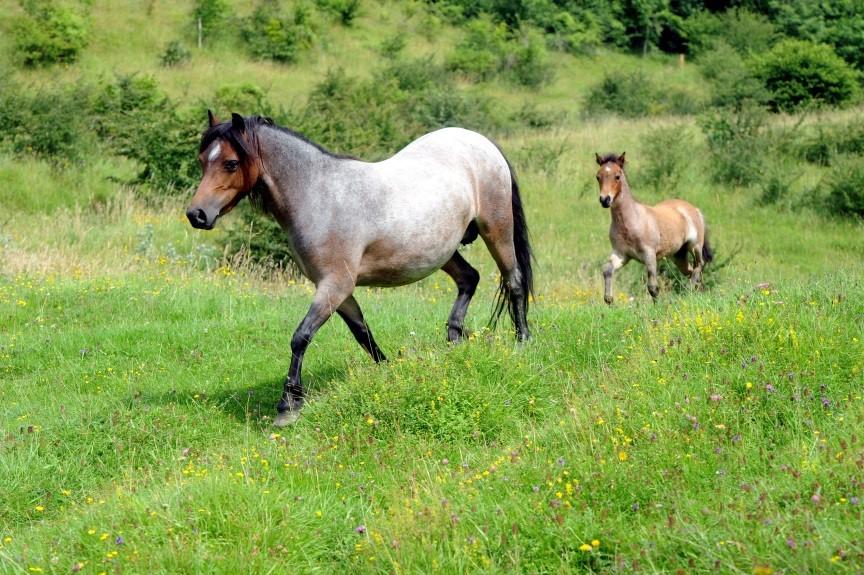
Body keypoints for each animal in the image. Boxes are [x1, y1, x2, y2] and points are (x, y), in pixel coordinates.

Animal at [186, 113, 528, 428]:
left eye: (231, 163)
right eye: (203, 160)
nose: (196, 214)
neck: (318, 197)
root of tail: (481, 142)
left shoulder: (335, 285)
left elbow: (300, 337)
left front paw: (288, 407)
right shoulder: (337, 290)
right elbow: (362, 333)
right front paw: (388, 372)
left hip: (497, 231)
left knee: (514, 281)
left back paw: (522, 342)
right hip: (443, 251)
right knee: (469, 278)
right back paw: (454, 343)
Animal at [596, 153, 712, 306]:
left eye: (617, 176)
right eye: (598, 176)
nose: (605, 200)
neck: (631, 222)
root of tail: (694, 209)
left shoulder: (649, 254)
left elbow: (652, 287)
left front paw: (658, 307)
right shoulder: (621, 254)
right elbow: (607, 269)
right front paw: (609, 299)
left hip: (695, 246)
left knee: (699, 265)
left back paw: (689, 290)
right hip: (678, 256)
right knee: (691, 271)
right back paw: (698, 292)